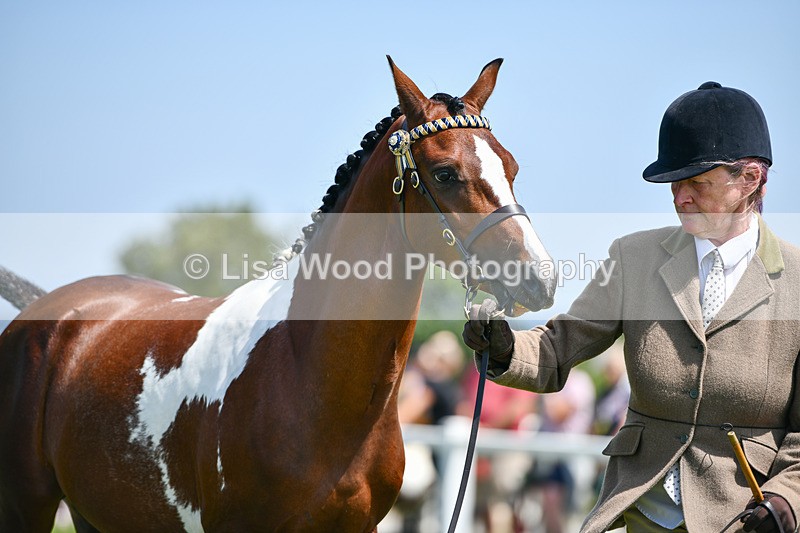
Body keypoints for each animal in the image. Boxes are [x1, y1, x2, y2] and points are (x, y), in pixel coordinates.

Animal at [0, 57, 556, 532]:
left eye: (511, 167)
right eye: (445, 173)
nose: (540, 277)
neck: (306, 372)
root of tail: (49, 308)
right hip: (27, 506)